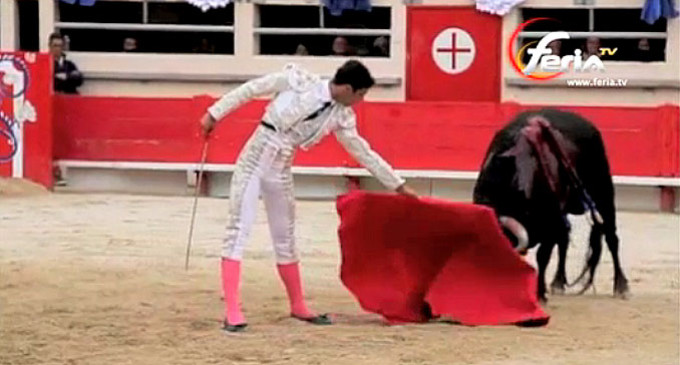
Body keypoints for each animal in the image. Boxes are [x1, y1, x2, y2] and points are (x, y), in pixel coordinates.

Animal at [476, 109, 628, 302]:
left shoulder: (550, 223)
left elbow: (543, 256)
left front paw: (540, 293)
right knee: (564, 241)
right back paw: (558, 282)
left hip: (604, 195)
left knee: (611, 238)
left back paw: (621, 286)